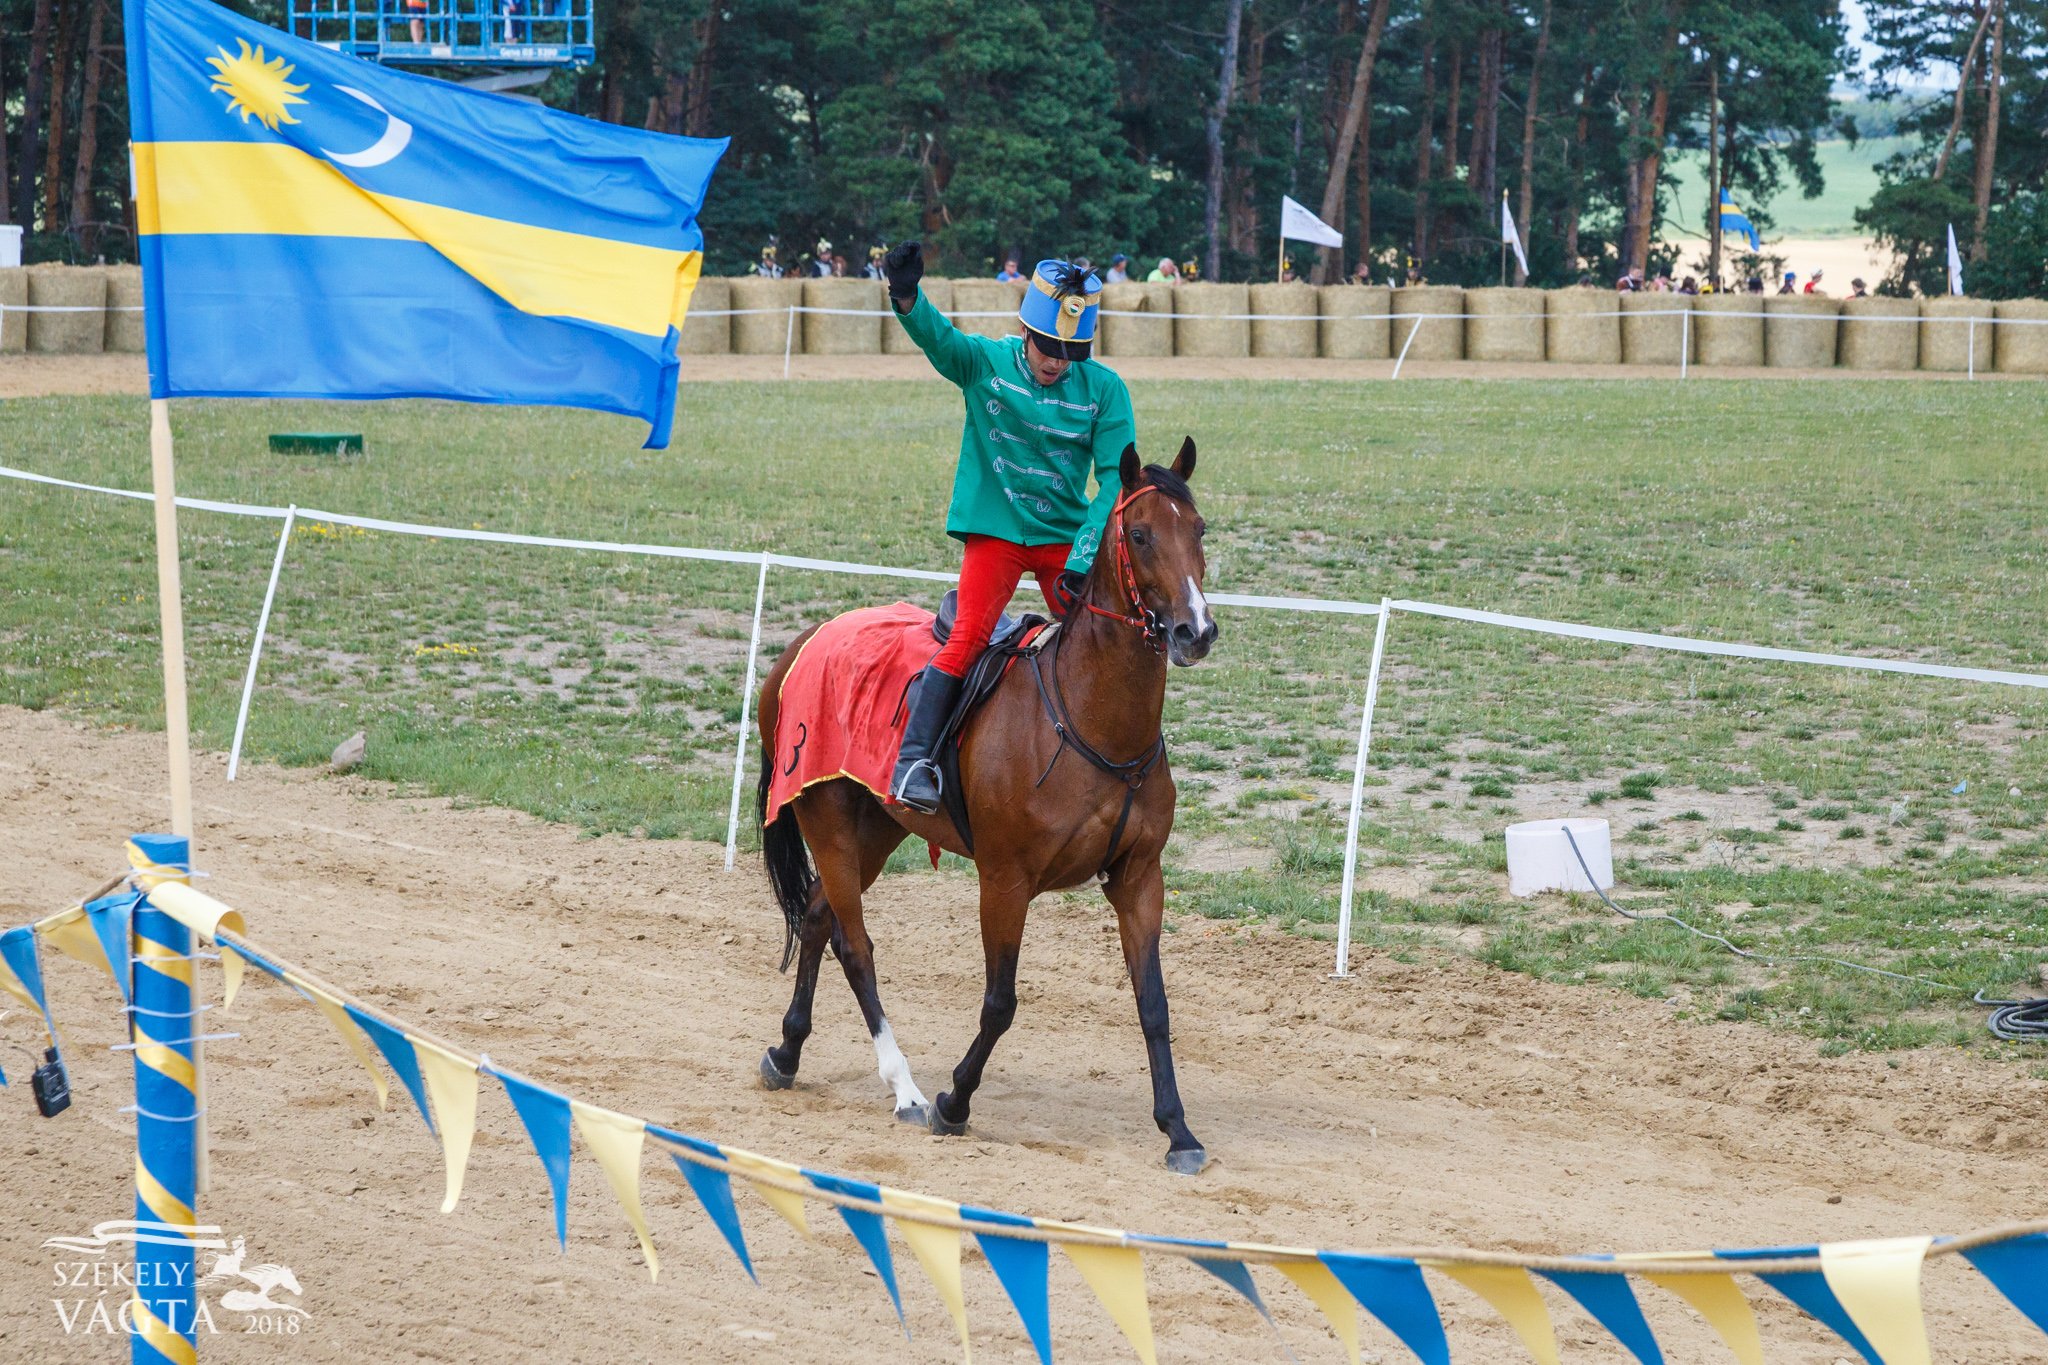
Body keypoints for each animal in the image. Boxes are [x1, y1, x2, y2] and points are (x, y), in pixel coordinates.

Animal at [753, 439, 1212, 1178]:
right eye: (1141, 535)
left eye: (1198, 530)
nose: (1195, 630)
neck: (1090, 718)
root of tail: (804, 643)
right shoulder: (1004, 879)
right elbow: (1000, 1003)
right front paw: (954, 1100)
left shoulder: (1141, 877)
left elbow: (1154, 1005)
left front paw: (1178, 1129)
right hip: (827, 819)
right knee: (854, 943)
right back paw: (906, 1088)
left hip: (876, 826)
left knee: (821, 916)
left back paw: (788, 1051)